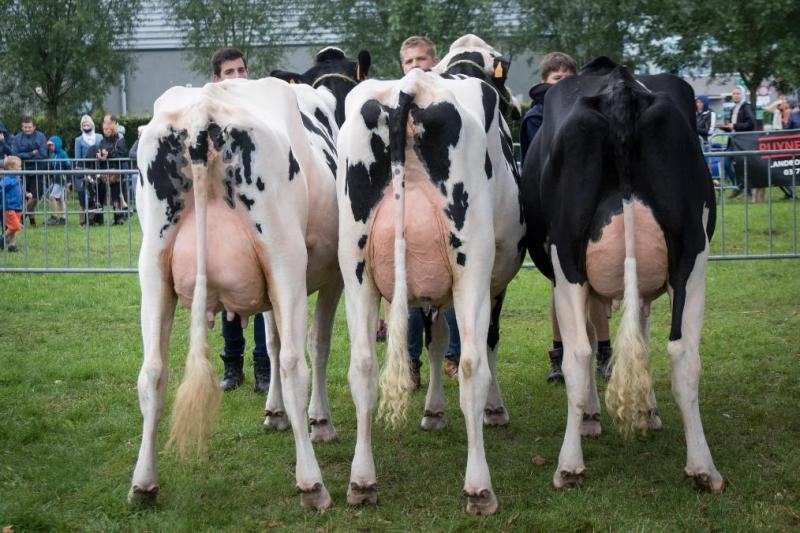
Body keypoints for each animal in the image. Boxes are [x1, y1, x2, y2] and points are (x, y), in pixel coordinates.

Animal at [130, 50, 370, 512]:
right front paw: (319, 421)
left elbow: (271, 342)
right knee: (296, 363)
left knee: (152, 371)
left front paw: (274, 413)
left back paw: (143, 483)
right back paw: (312, 483)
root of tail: (202, 110)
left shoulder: (265, 285)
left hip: (152, 265)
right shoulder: (331, 275)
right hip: (284, 257)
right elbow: (315, 344)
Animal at [336, 68, 524, 512]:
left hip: (356, 268)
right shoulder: (494, 282)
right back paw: (479, 487)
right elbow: (487, 344)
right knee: (473, 364)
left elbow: (435, 340)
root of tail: (412, 84)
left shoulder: (429, 291)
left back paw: (362, 481)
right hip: (471, 264)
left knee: (363, 365)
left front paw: (433, 412)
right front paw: (495, 410)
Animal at [520, 57, 720, 490]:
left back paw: (569, 464)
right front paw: (646, 412)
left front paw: (595, 417)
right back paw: (702, 467)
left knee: (578, 354)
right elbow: (640, 340)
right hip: (691, 255)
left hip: (568, 261)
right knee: (683, 353)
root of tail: (619, 86)